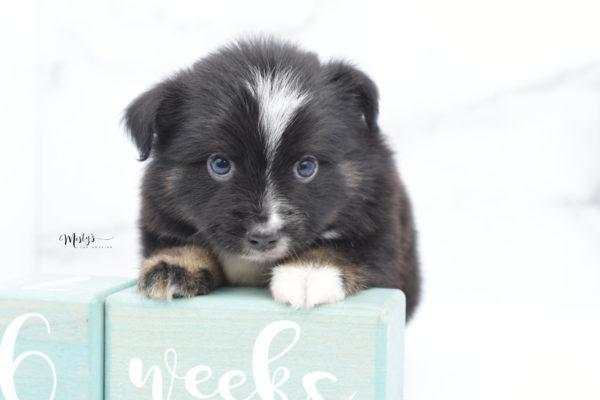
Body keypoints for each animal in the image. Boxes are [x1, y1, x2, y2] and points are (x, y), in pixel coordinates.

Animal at [124, 39, 420, 320]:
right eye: (220, 164)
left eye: (306, 166)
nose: (264, 237)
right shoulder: (158, 216)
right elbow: (178, 241)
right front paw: (175, 265)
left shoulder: (379, 225)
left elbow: (347, 247)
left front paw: (310, 271)